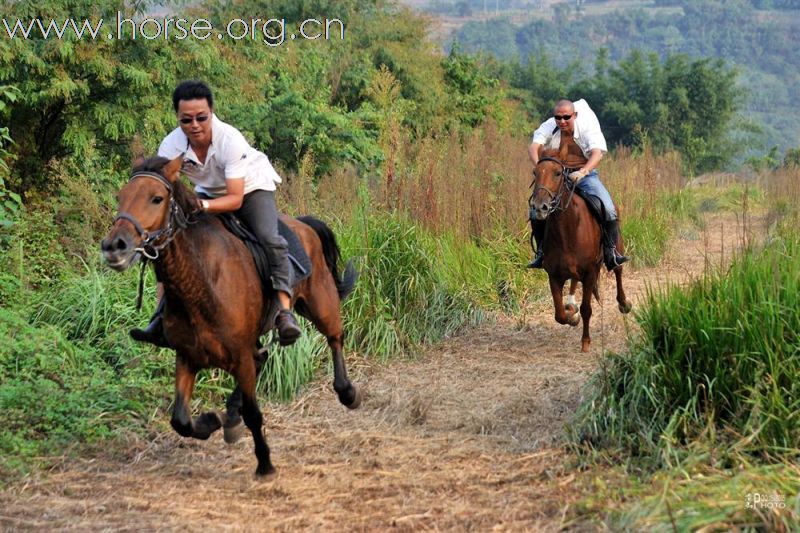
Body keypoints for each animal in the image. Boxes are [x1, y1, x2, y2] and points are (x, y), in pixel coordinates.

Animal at [99, 156, 360, 476]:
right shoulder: (187, 355)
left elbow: (254, 414)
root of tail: (303, 224)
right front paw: (211, 421)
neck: (199, 283)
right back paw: (231, 417)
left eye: (156, 199)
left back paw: (347, 392)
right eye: (120, 197)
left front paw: (265, 464)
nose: (114, 247)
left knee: (335, 337)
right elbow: (180, 420)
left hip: (320, 303)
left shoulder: (239, 354)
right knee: (263, 358)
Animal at [532, 147, 632, 354]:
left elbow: (586, 309)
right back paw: (571, 304)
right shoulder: (554, 275)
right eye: (535, 173)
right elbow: (559, 314)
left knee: (618, 270)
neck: (568, 228)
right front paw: (571, 314)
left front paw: (585, 342)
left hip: (616, 248)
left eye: (557, 173)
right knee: (573, 283)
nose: (539, 207)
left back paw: (624, 304)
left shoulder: (590, 272)